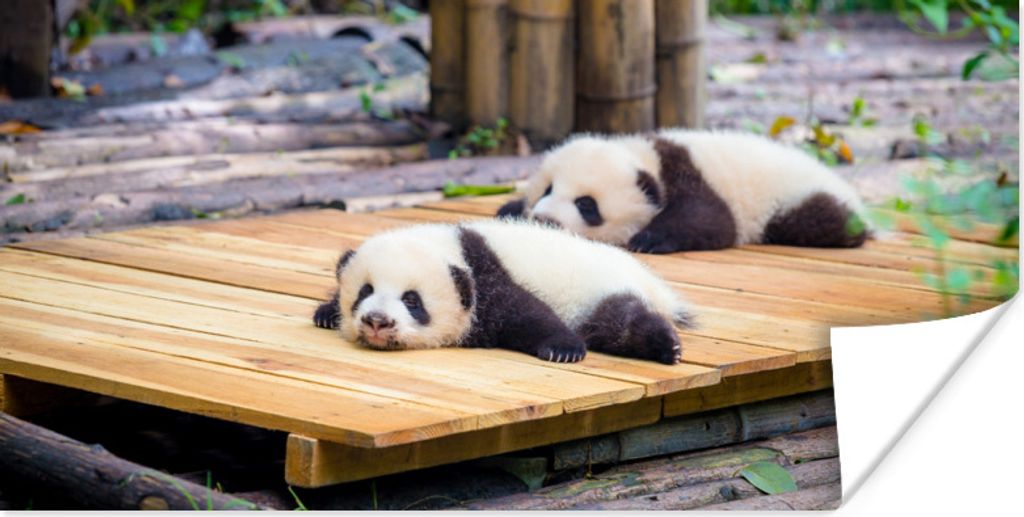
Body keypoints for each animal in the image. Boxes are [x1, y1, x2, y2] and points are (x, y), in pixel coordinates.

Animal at [313, 219, 696, 365]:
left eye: (412, 300)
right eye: (364, 291)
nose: (377, 321)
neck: (452, 246)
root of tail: (648, 279)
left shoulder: (488, 279)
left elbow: (528, 313)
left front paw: (563, 349)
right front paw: (326, 313)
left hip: (601, 289)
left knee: (622, 321)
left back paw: (667, 345)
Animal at [497, 129, 870, 253]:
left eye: (587, 205)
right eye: (547, 189)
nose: (545, 219)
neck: (646, 156)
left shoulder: (690, 178)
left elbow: (712, 220)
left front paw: (649, 239)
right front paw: (510, 209)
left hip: (796, 199)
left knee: (819, 220)